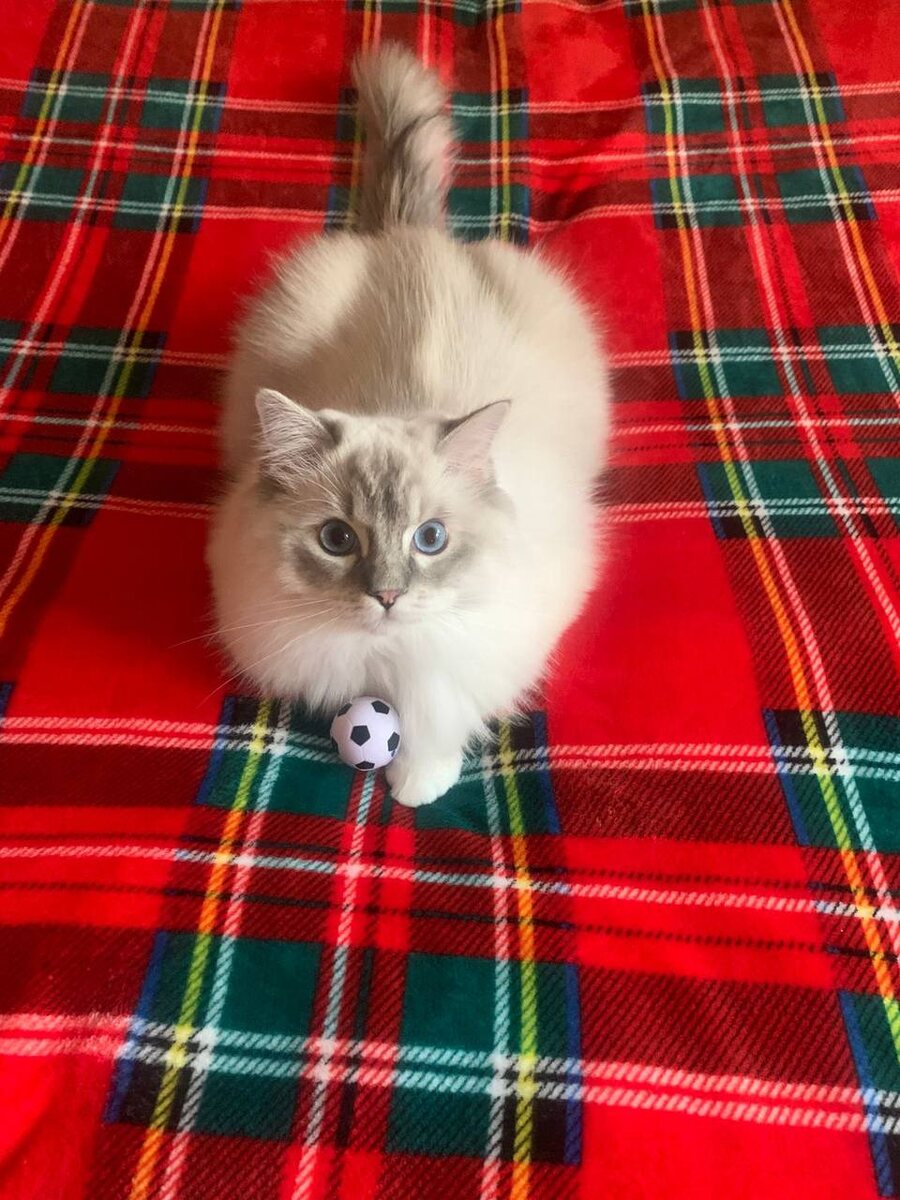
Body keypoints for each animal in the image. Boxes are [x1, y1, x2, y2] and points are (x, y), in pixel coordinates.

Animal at [207, 43, 609, 806]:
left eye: (431, 539)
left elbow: (434, 710)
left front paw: (416, 784)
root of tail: (409, 237)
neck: (384, 650)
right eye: (337, 540)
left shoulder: (470, 652)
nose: (388, 597)